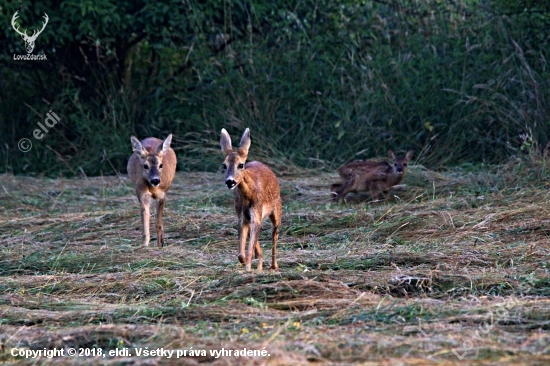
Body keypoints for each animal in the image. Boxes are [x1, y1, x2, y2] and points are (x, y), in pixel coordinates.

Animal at [222, 129, 284, 272]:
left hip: (277, 209)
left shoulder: (257, 211)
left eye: (241, 165)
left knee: (274, 234)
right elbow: (241, 253)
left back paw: (274, 265)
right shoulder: (242, 216)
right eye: (224, 165)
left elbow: (249, 249)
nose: (230, 182)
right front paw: (248, 263)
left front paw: (249, 268)